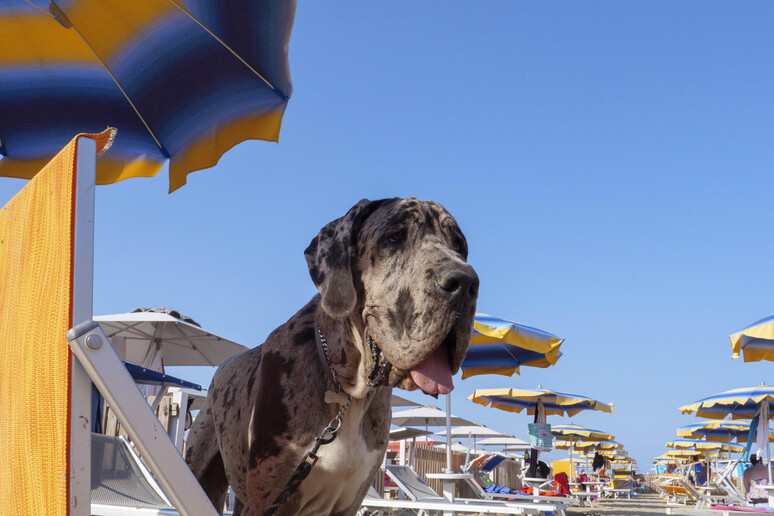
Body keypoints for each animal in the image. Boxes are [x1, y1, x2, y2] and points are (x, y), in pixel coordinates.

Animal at [186, 196, 478, 512]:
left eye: (459, 245)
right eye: (395, 237)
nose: (465, 282)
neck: (348, 392)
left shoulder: (350, 501)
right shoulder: (268, 500)